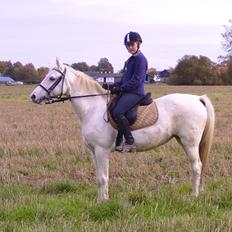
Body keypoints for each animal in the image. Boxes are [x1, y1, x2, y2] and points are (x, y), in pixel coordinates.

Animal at [30, 58, 216, 201]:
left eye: (51, 78)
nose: (33, 96)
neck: (93, 108)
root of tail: (198, 99)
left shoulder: (102, 150)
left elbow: (103, 178)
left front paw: (103, 202)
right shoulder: (94, 152)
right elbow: (99, 177)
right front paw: (101, 200)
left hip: (190, 143)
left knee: (196, 167)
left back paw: (193, 196)